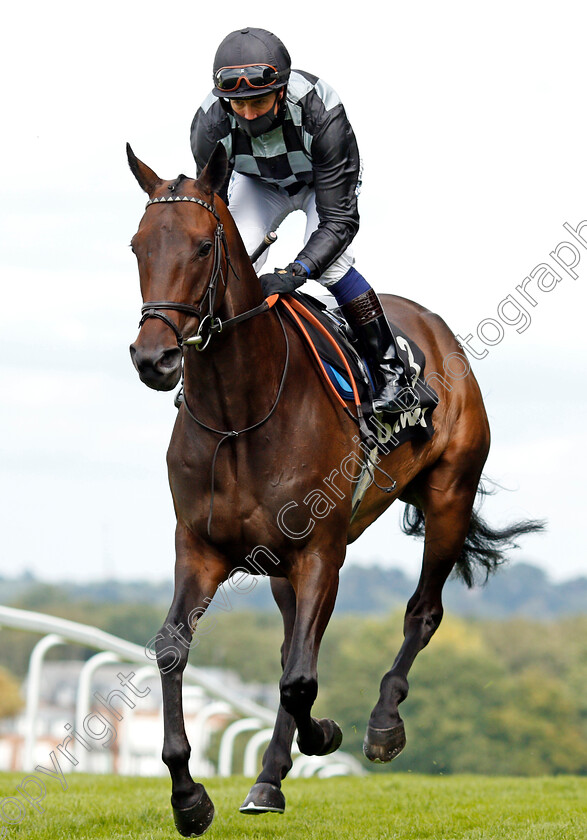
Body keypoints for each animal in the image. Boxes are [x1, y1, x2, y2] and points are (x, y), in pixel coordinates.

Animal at [127, 141, 544, 836]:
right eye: (137, 245)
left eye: (204, 247)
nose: (152, 358)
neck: (240, 414)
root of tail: (435, 327)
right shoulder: (202, 549)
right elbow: (173, 651)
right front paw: (189, 796)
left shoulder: (320, 550)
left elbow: (301, 680)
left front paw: (324, 733)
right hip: (280, 565)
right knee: (296, 647)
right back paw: (268, 779)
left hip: (448, 498)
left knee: (420, 614)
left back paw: (381, 724)